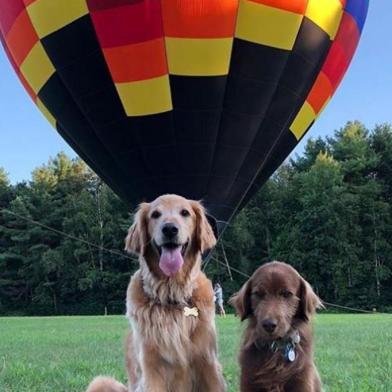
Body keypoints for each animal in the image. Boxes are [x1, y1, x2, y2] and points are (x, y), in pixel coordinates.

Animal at [231, 260, 324, 392]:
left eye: (286, 294)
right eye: (258, 294)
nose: (269, 325)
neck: (275, 348)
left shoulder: (302, 381)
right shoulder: (248, 382)